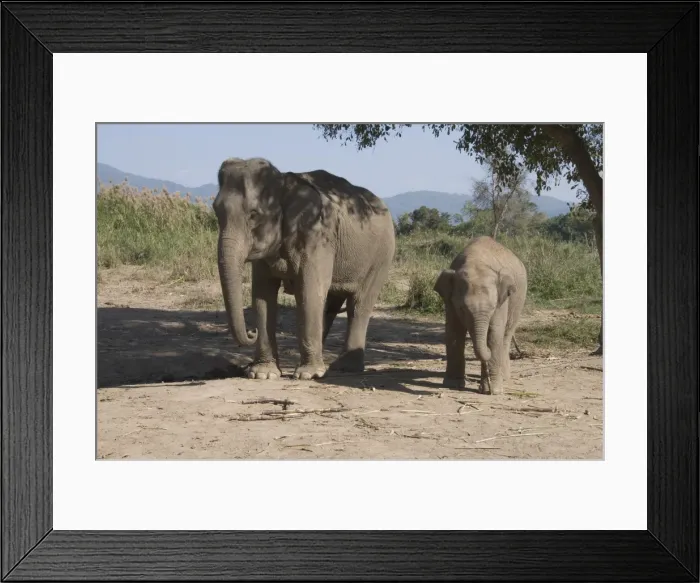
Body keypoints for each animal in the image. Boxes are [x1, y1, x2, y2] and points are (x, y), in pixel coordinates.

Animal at [213, 157, 396, 381]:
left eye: (254, 215)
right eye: (216, 211)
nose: (251, 332)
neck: (283, 183)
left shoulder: (316, 235)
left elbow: (308, 290)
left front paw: (308, 375)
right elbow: (263, 295)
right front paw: (262, 374)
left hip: (381, 256)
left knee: (359, 305)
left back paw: (343, 368)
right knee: (331, 305)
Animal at [432, 236, 527, 395]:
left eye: (493, 307)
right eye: (462, 308)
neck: (475, 261)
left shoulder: (502, 301)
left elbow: (494, 334)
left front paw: (494, 391)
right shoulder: (449, 301)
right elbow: (454, 332)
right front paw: (452, 385)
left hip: (519, 299)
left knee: (506, 335)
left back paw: (504, 378)